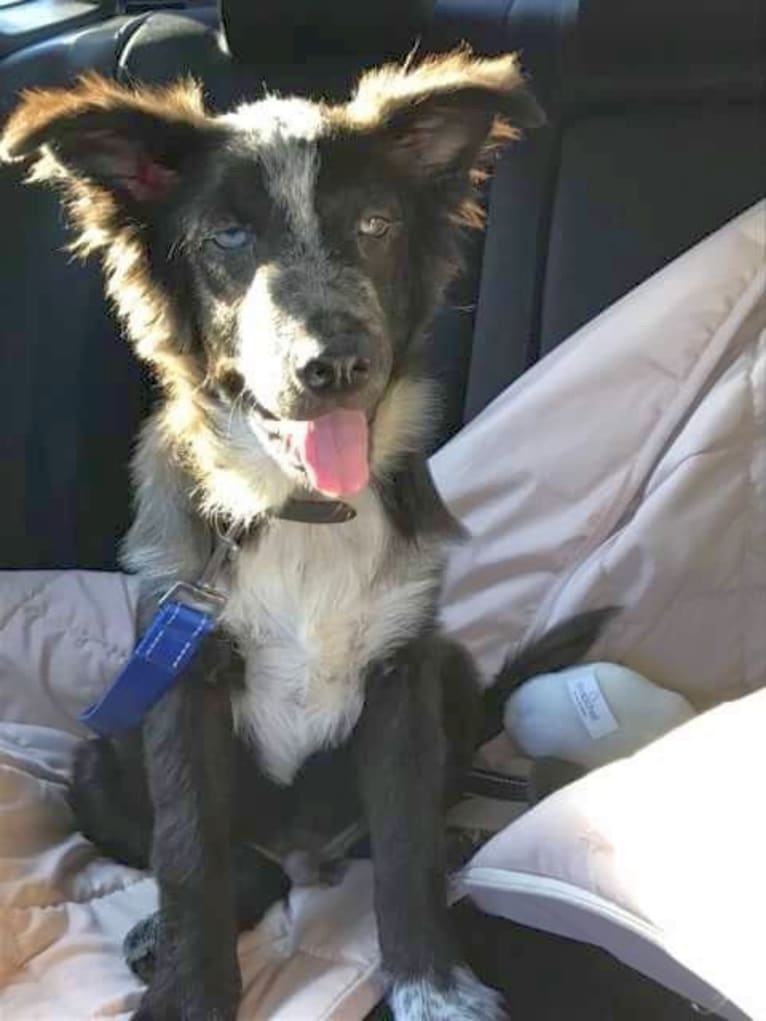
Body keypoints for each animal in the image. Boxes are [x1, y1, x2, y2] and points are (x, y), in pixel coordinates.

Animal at [1, 49, 612, 1021]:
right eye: (227, 238)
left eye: (375, 225)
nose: (334, 365)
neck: (302, 509)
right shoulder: (181, 682)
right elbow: (189, 855)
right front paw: (188, 991)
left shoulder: (404, 675)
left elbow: (406, 846)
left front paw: (432, 982)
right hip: (96, 757)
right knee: (245, 867)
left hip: (451, 668)